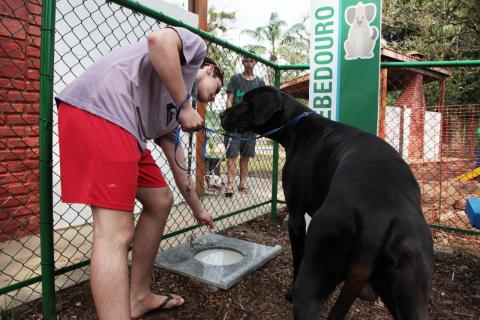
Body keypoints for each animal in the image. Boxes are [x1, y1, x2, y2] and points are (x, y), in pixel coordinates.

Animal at [221, 85, 436, 320]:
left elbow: (297, 258)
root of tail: (377, 220)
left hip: (318, 264)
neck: (296, 125)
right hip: (411, 291)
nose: (221, 115)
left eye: (246, 101)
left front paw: (289, 292)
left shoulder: (296, 217)